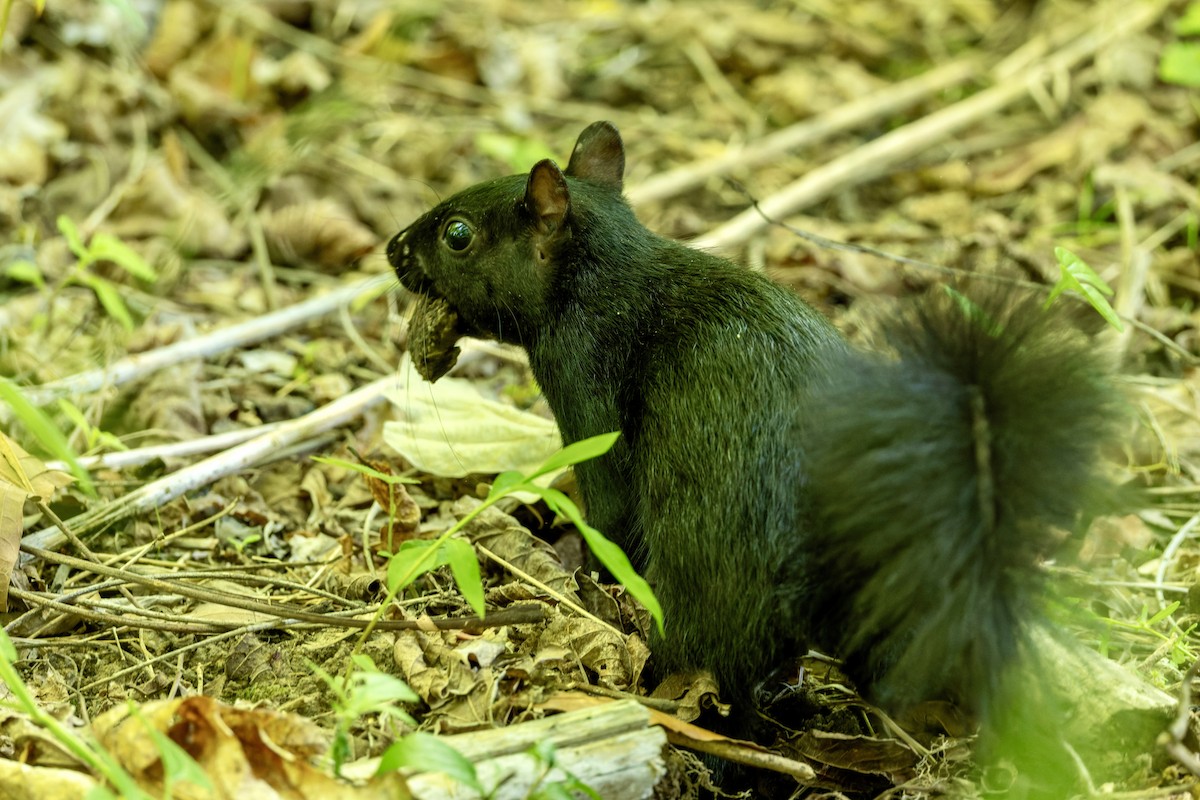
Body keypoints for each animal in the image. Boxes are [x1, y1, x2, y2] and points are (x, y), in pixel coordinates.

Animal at [386, 122, 1120, 757]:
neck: (601, 279)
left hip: (714, 584)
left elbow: (611, 517)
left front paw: (585, 577)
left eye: (457, 235)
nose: (392, 249)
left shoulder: (586, 390)